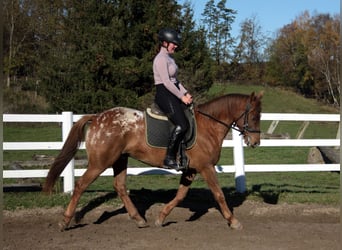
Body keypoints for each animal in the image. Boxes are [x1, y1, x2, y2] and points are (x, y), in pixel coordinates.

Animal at [42, 91, 262, 230]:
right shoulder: (206, 167)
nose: (255, 142)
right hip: (99, 163)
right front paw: (233, 221)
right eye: (253, 116)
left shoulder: (190, 169)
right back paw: (65, 221)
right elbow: (219, 195)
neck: (208, 126)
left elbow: (180, 195)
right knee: (81, 185)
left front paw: (161, 217)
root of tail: (97, 117)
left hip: (120, 160)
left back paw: (139, 219)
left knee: (120, 186)